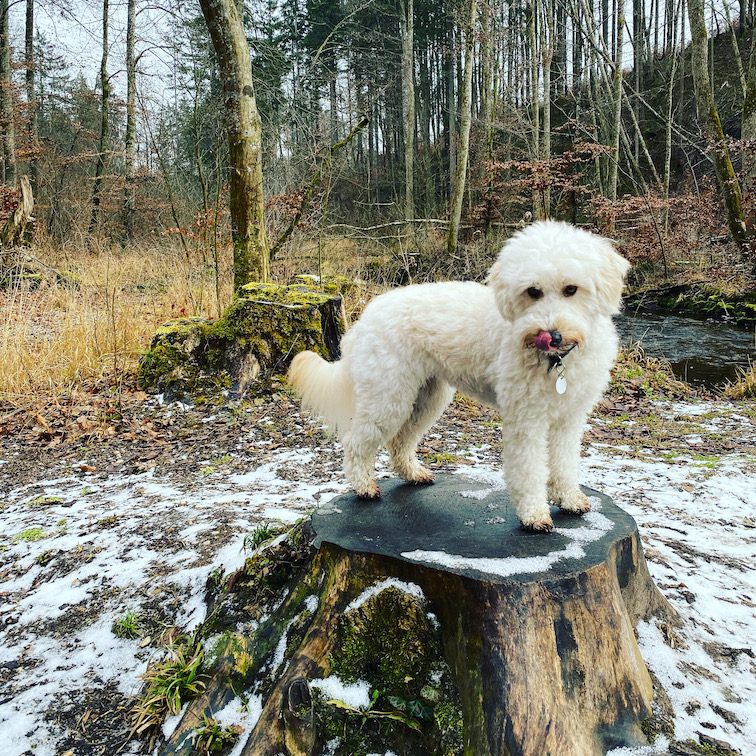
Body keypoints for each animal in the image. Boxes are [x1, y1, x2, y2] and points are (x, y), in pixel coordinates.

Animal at [286, 221, 628, 532]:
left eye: (571, 289)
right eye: (533, 291)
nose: (551, 335)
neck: (557, 362)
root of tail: (366, 317)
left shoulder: (569, 418)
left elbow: (565, 463)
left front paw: (569, 499)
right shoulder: (526, 419)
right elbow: (529, 470)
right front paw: (534, 514)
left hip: (426, 397)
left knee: (399, 442)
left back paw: (413, 473)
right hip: (388, 396)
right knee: (356, 443)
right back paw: (363, 486)